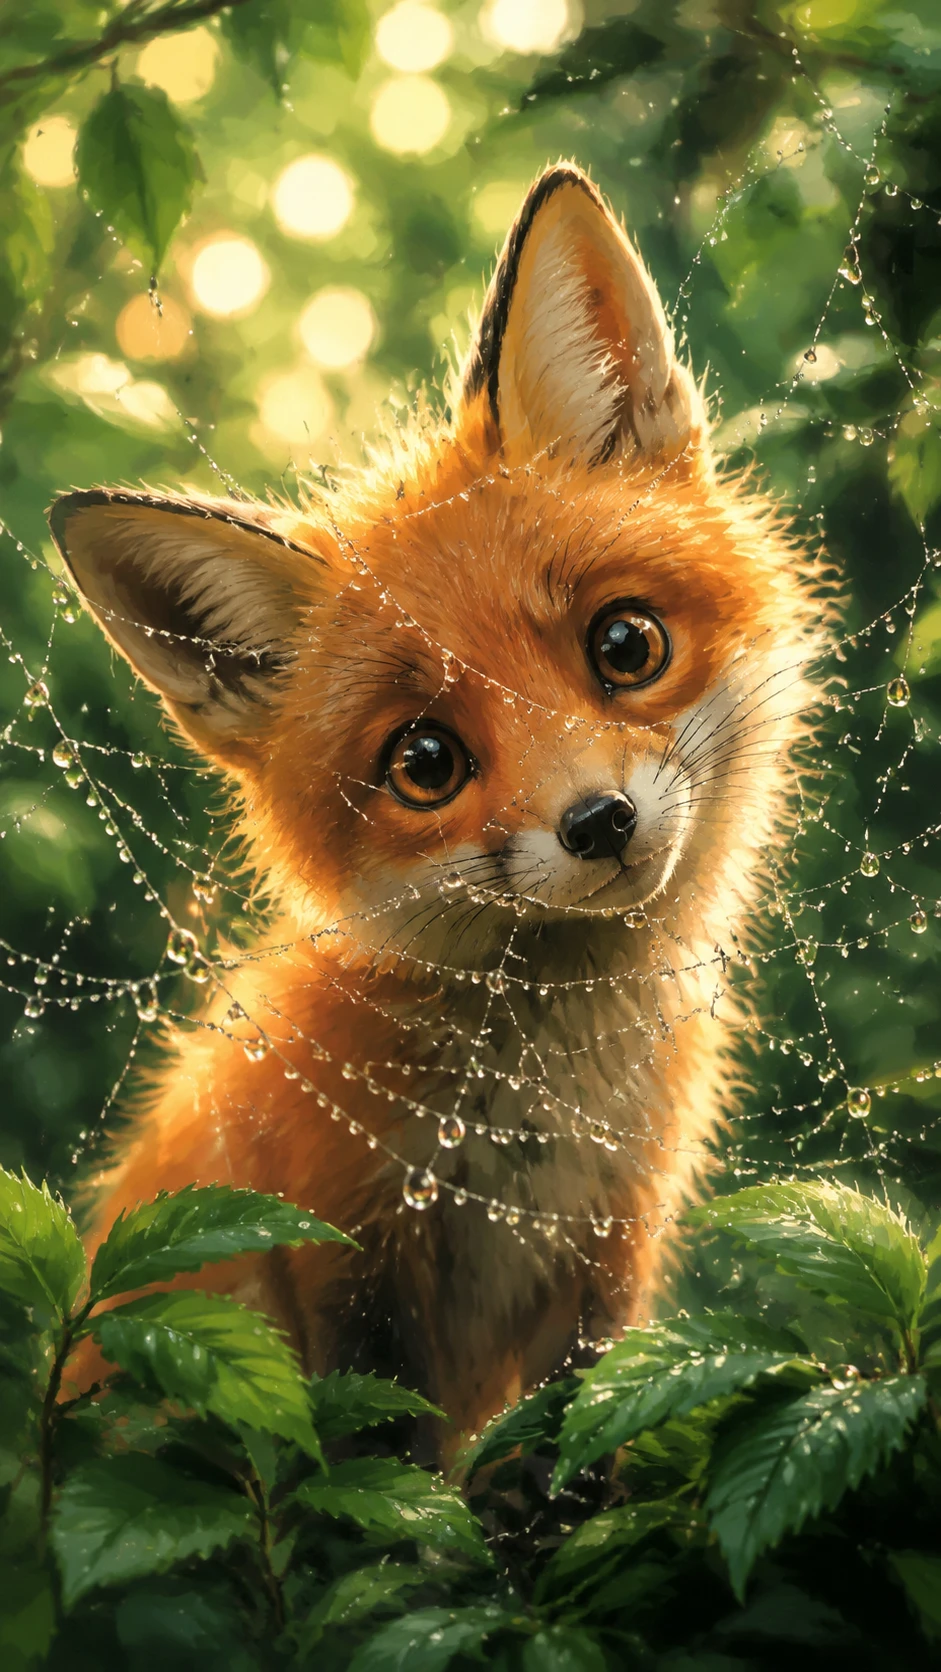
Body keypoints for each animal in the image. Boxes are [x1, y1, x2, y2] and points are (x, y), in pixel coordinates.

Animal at [50, 164, 822, 1455]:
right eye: (424, 761)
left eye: (625, 644)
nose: (599, 823)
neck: (538, 1121)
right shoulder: (331, 1265)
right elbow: (372, 1468)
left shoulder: (607, 1262)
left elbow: (571, 1450)